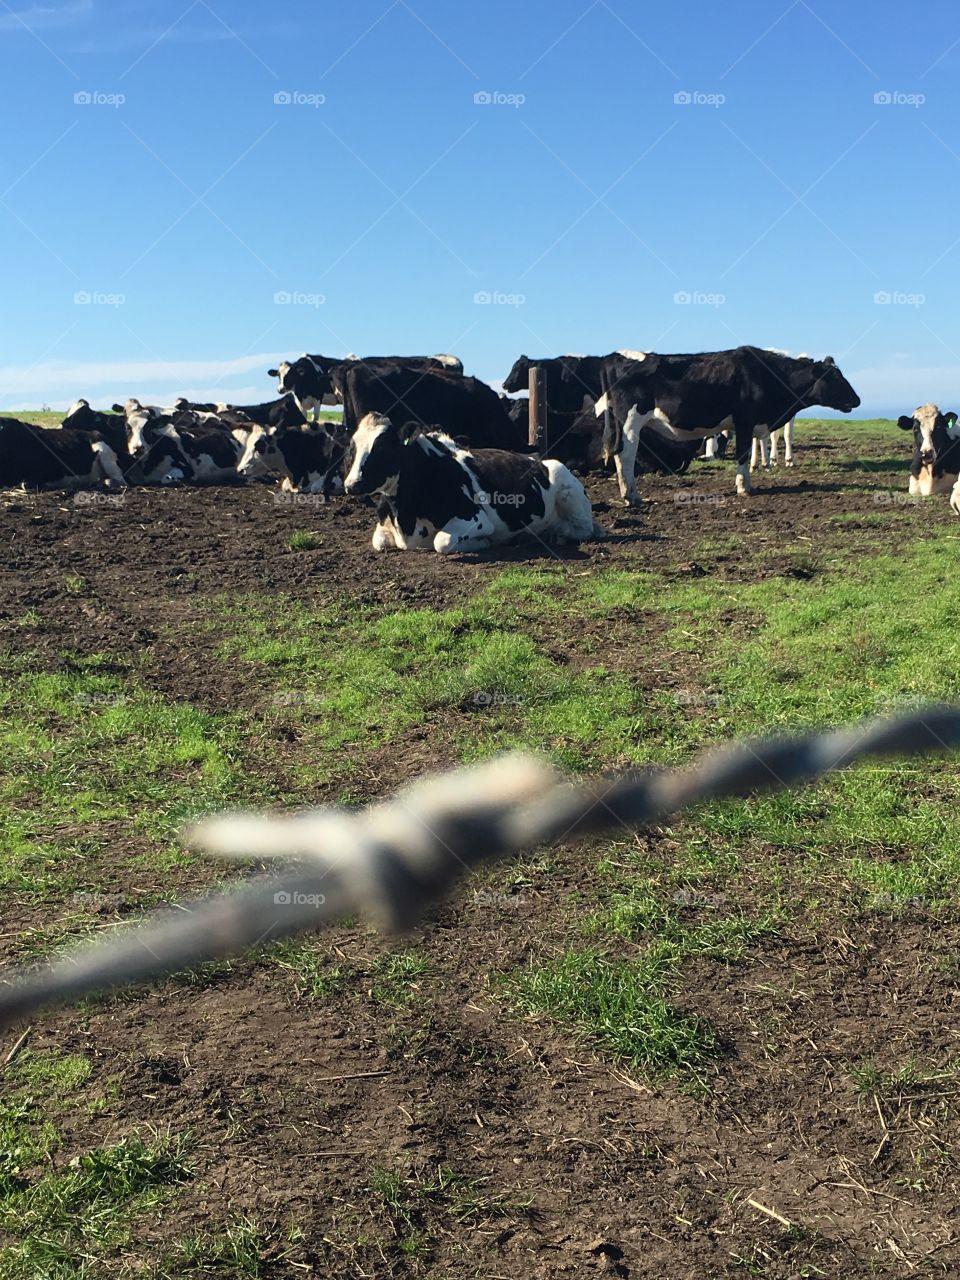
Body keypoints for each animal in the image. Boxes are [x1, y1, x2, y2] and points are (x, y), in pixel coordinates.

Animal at [268, 353, 463, 419]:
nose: (280, 390)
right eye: (279, 376)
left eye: (291, 374)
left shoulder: (317, 398)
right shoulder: (300, 400)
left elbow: (315, 419)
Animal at [342, 413, 604, 554]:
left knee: (582, 528)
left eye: (383, 449)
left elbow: (442, 541)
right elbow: (379, 541)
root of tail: (541, 460)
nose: (351, 484)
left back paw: (553, 534)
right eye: (352, 449)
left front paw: (482, 542)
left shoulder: (476, 518)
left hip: (568, 491)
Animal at [596, 348, 860, 503]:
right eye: (834, 377)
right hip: (631, 421)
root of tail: (613, 355)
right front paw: (744, 487)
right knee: (625, 454)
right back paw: (632, 496)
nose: (857, 400)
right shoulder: (744, 422)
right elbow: (742, 454)